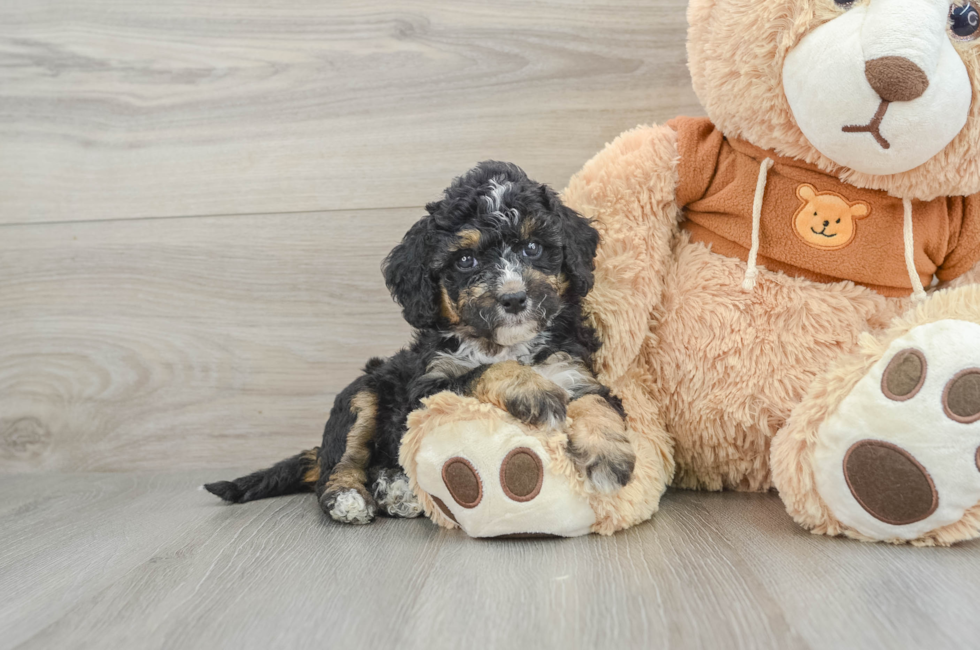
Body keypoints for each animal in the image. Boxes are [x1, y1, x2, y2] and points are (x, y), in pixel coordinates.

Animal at [205, 161, 636, 520]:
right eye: (466, 260)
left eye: (533, 247)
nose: (514, 299)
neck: (504, 343)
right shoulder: (427, 389)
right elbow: (484, 370)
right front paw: (532, 389)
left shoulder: (572, 370)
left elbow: (597, 404)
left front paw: (609, 455)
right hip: (363, 395)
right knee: (342, 464)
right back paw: (350, 498)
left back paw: (396, 490)